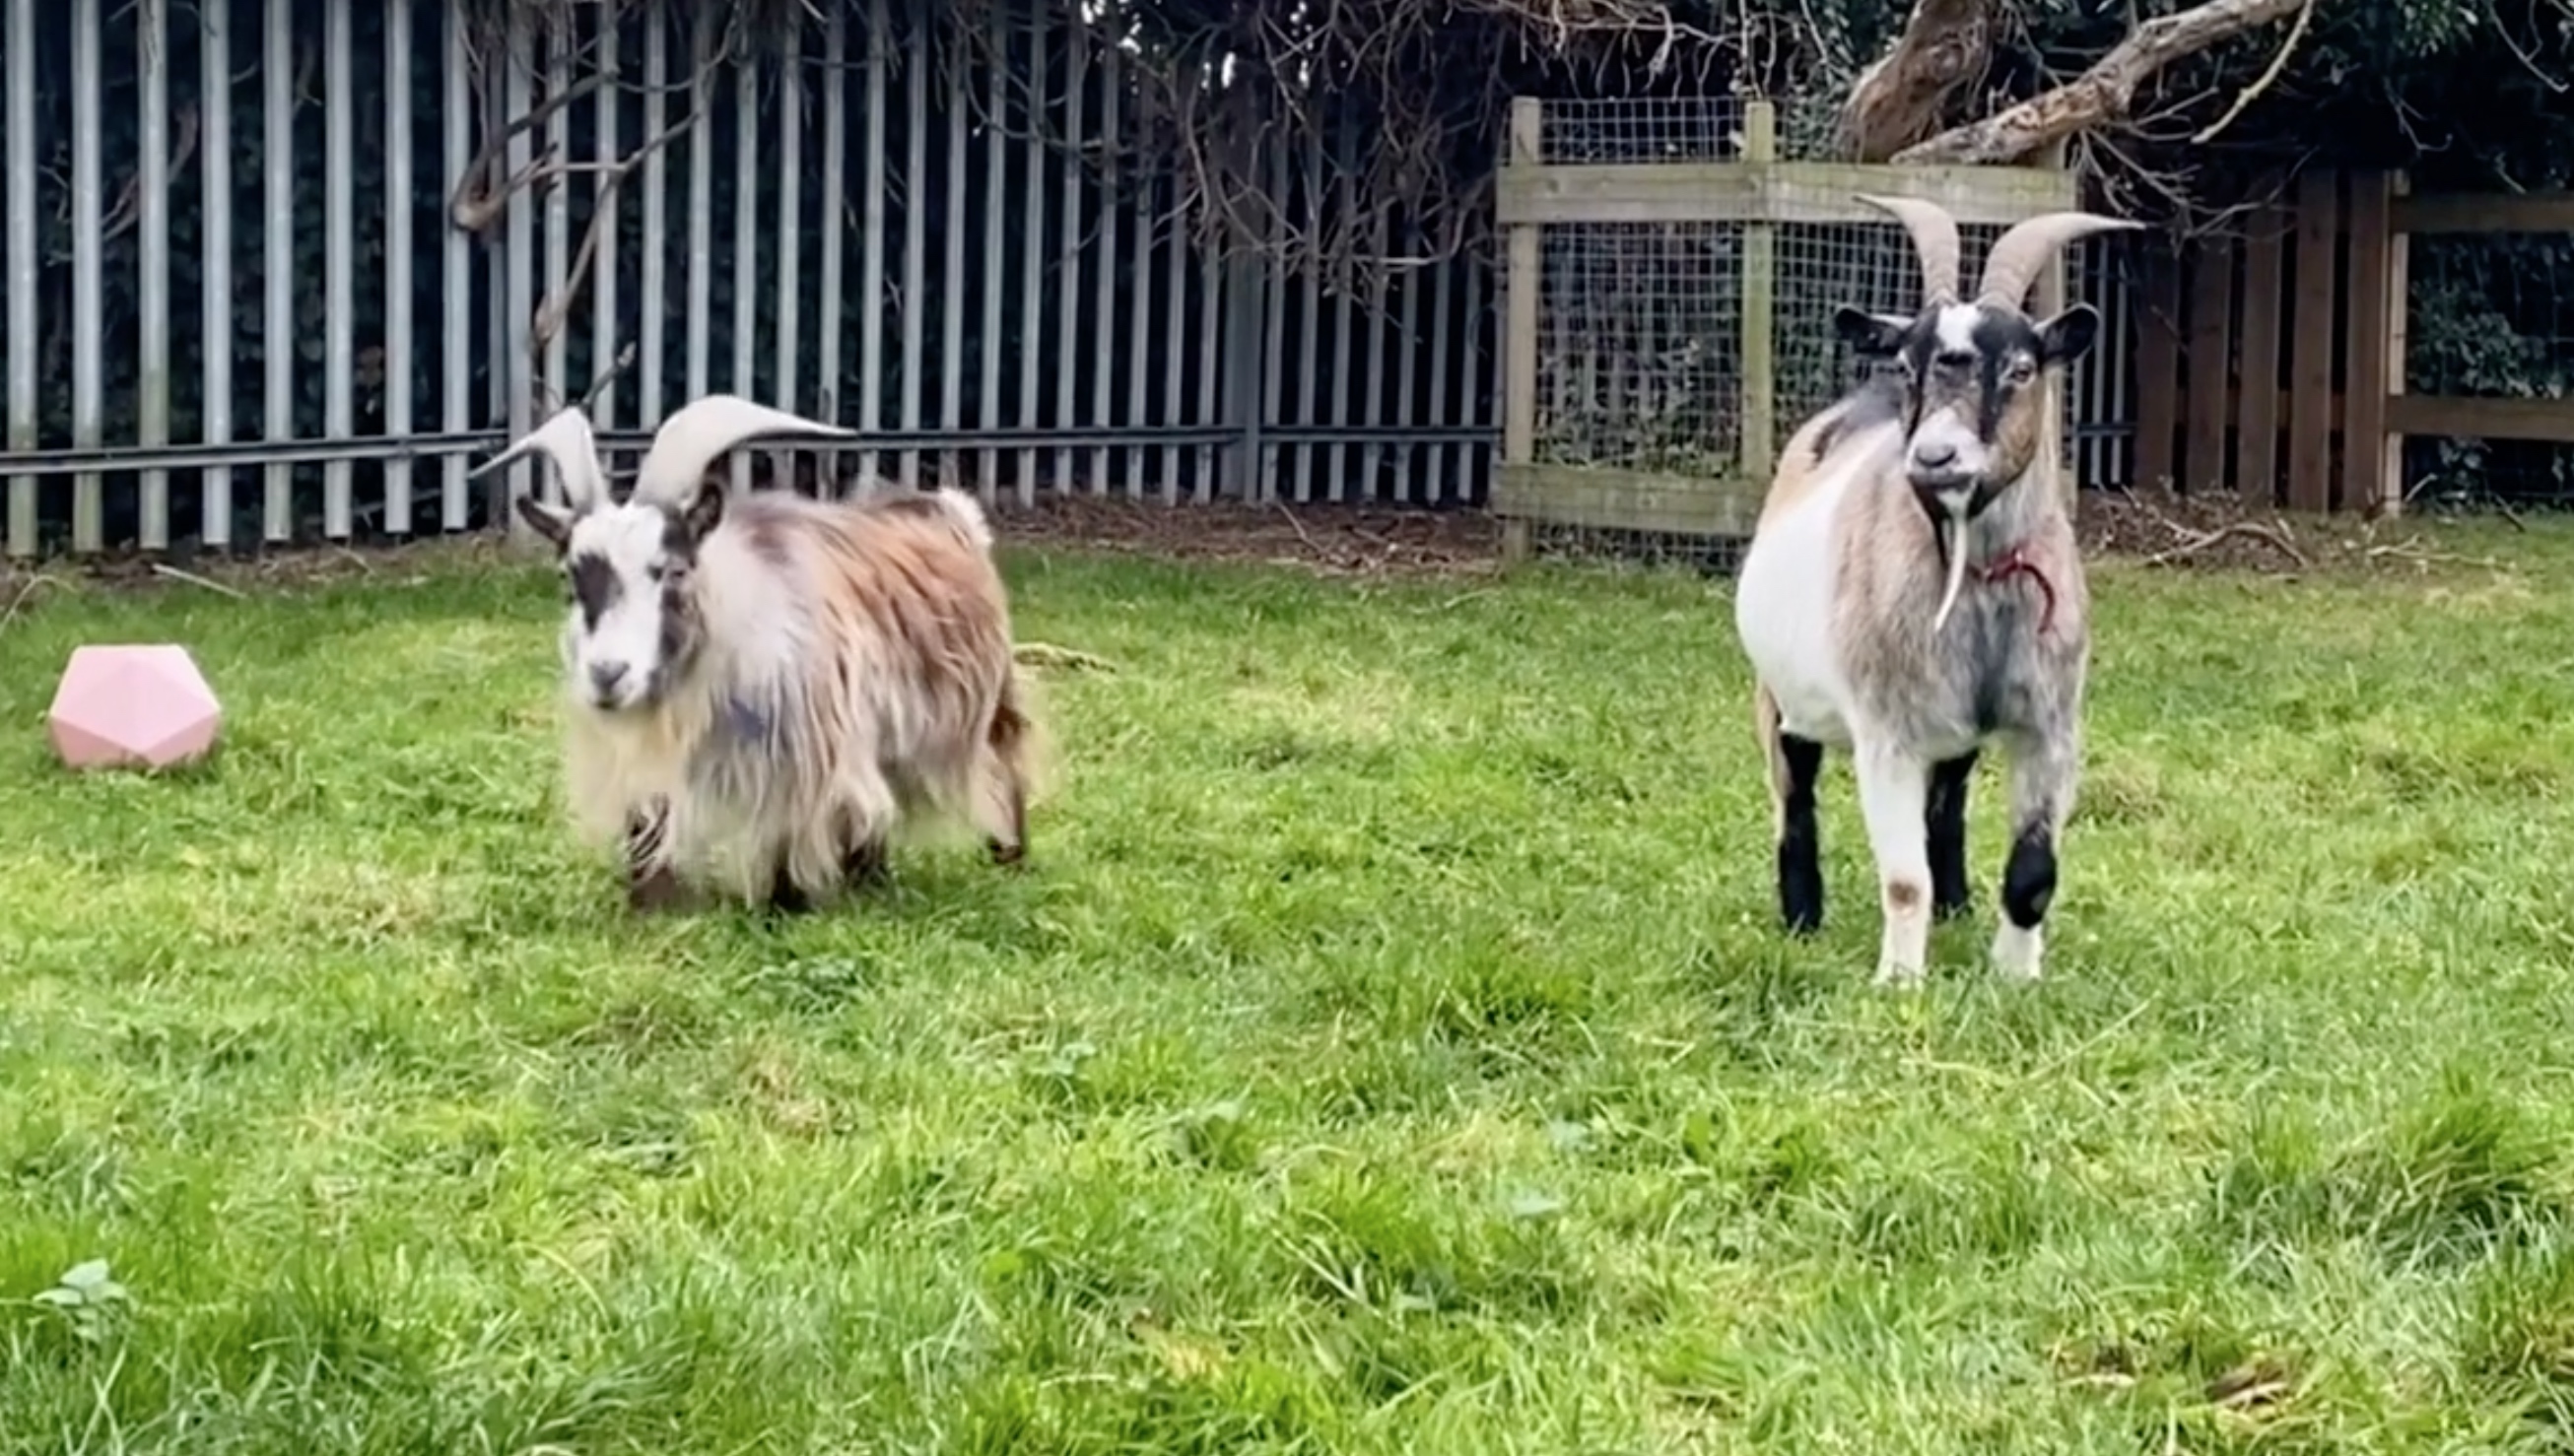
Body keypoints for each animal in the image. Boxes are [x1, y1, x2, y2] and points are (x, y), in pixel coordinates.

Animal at [478, 393, 1040, 920]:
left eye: (675, 570)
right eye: (569, 578)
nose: (607, 675)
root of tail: (953, 511)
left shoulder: (805, 752)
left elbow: (793, 831)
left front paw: (784, 907)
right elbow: (650, 826)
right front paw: (649, 907)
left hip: (990, 702)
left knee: (1003, 765)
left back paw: (1006, 857)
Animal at [1739, 196, 2141, 992]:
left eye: (2021, 367)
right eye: (1907, 363)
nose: (1935, 456)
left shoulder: (2049, 725)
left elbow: (2033, 872)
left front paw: (2016, 978)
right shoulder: (1885, 732)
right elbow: (1902, 880)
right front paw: (1900, 983)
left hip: (1955, 735)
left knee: (1948, 800)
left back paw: (1957, 905)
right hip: (1778, 693)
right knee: (1794, 794)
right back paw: (1802, 917)